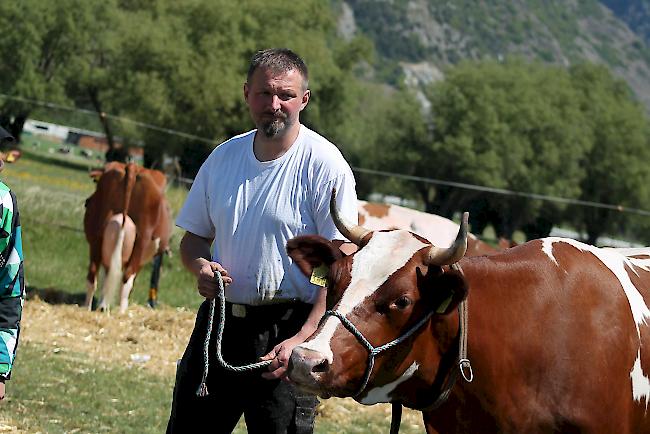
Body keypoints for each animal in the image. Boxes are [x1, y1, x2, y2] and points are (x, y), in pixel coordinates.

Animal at [83, 162, 172, 312]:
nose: (87, 201)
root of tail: (132, 166)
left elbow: (107, 277)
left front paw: (103, 305)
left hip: (97, 238)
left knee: (93, 274)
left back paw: (89, 308)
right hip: (141, 242)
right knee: (126, 279)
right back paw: (121, 312)